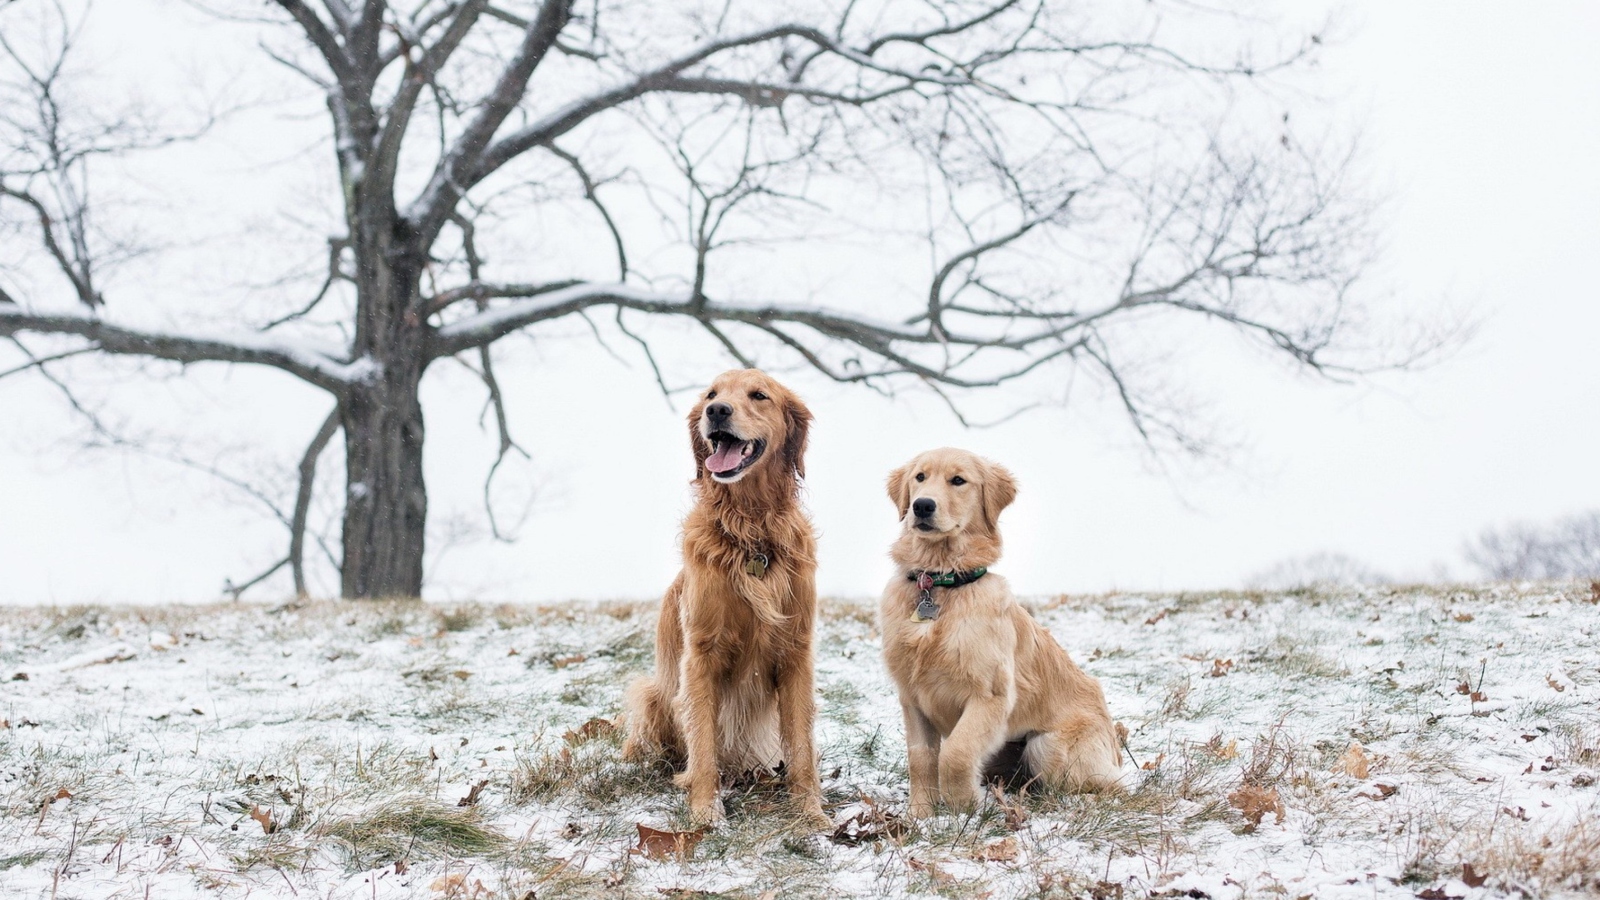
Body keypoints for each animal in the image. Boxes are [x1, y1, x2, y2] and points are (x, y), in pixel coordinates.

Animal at [620, 368, 832, 826]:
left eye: (759, 395)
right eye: (711, 395)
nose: (717, 411)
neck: (751, 531)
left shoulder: (797, 652)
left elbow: (802, 748)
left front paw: (811, 812)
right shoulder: (701, 655)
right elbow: (703, 746)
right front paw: (706, 811)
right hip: (651, 694)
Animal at [876, 445, 1126, 813]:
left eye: (958, 480)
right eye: (920, 477)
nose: (922, 505)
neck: (940, 583)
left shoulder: (989, 696)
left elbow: (955, 754)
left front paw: (964, 807)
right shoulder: (912, 697)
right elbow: (921, 759)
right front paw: (920, 814)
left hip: (1046, 747)